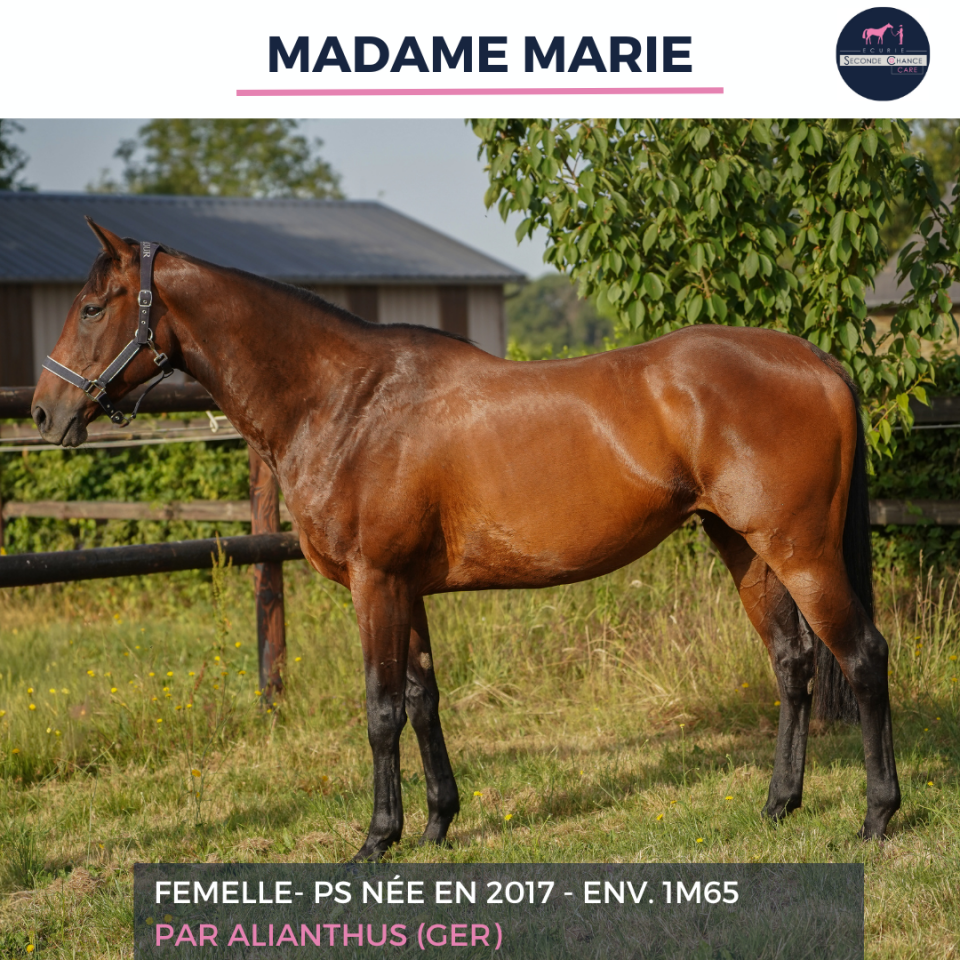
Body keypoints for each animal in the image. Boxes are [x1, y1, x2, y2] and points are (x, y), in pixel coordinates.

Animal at [31, 220, 901, 859]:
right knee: (791, 665)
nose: (44, 412)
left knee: (862, 657)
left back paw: (877, 815)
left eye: (93, 306)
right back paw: (779, 805)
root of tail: (815, 359)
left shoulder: (375, 581)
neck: (345, 400)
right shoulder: (405, 586)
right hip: (745, 547)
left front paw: (377, 840)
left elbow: (381, 709)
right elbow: (423, 700)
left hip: (801, 550)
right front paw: (438, 823)